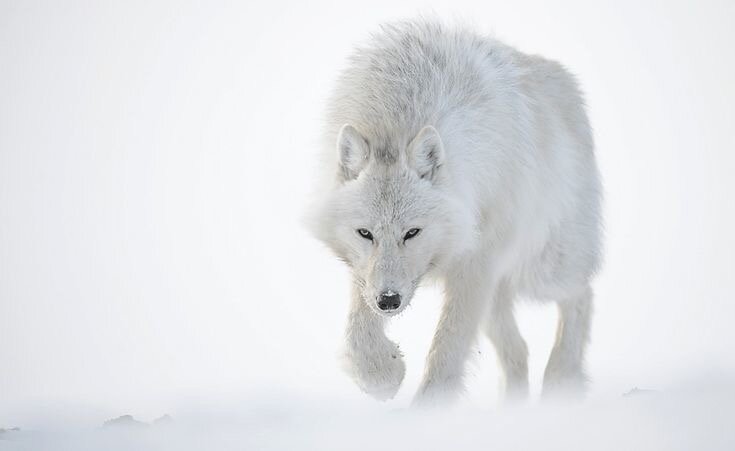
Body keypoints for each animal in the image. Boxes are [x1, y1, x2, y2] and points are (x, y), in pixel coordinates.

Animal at [310, 19, 604, 408]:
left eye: (412, 232)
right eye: (365, 233)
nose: (389, 301)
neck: (398, 117)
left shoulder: (476, 261)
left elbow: (448, 345)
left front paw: (427, 411)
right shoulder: (365, 270)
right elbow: (359, 327)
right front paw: (381, 375)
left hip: (542, 269)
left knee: (581, 294)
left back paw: (561, 381)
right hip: (498, 294)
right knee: (520, 350)